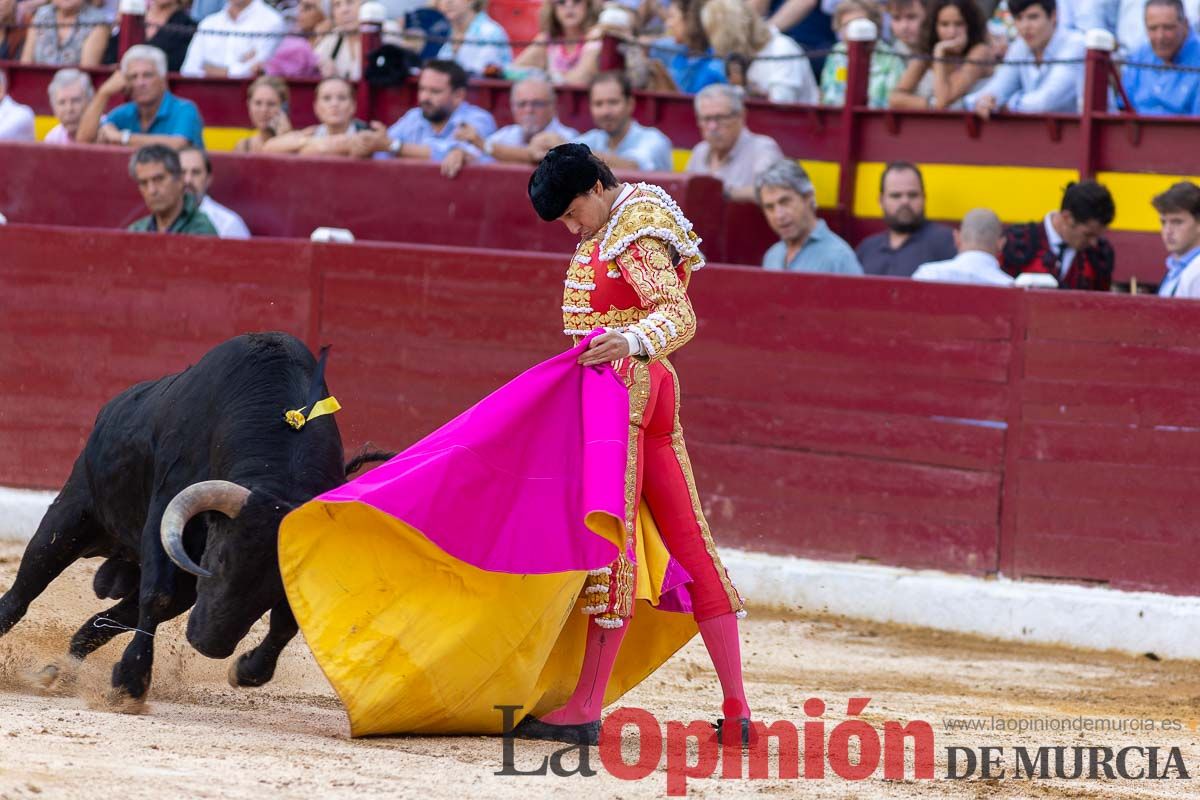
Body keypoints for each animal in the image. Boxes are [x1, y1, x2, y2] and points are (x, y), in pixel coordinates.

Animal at [0, 335, 386, 705]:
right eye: (220, 559)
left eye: (279, 581)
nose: (210, 645)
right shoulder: (165, 516)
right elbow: (157, 595)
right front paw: (129, 683)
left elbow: (286, 621)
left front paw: (248, 670)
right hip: (71, 518)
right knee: (24, 590)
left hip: (182, 585)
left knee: (101, 621)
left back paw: (60, 671)